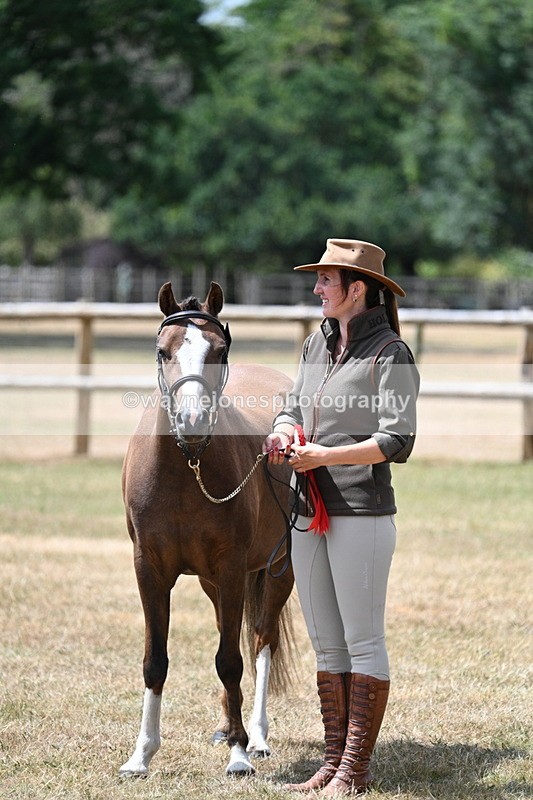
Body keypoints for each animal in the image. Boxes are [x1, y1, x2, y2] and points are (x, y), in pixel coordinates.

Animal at [119, 280, 296, 778]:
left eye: (219, 350)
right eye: (163, 351)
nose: (192, 422)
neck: (187, 468)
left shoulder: (234, 567)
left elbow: (231, 661)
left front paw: (239, 754)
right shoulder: (150, 570)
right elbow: (155, 661)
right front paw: (141, 755)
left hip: (278, 571)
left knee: (261, 641)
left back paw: (255, 736)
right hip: (213, 584)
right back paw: (226, 727)